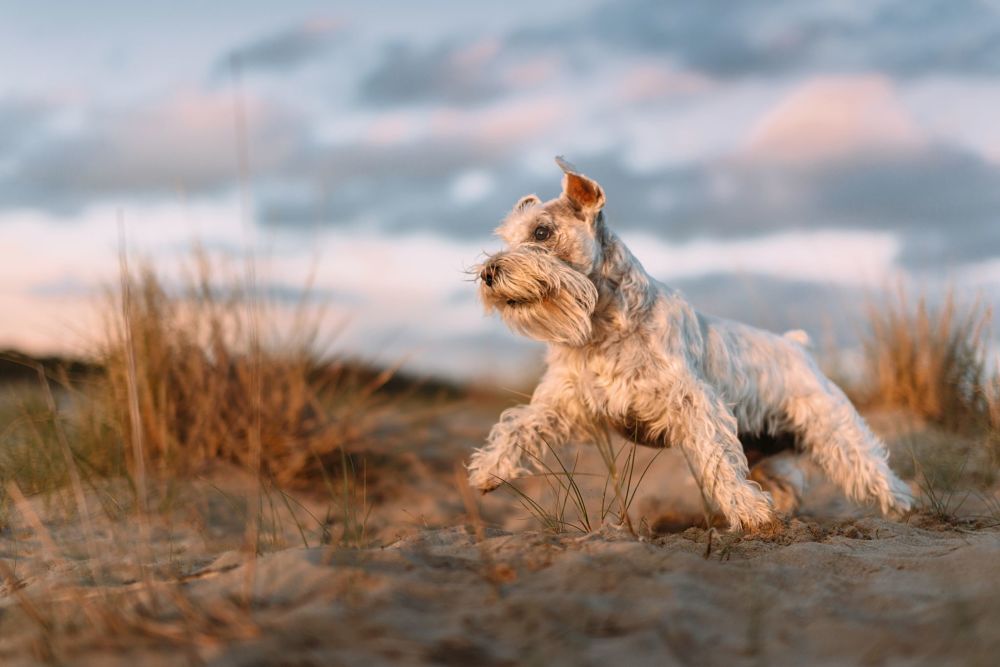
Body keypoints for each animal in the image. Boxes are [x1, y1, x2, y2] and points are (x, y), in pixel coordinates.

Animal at [468, 158, 916, 532]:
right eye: (508, 236)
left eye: (542, 231)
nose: (488, 272)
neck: (603, 328)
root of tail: (798, 347)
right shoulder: (567, 404)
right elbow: (519, 426)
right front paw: (489, 469)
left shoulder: (695, 404)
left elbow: (719, 462)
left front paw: (748, 514)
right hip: (766, 453)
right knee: (790, 484)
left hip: (833, 429)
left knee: (874, 472)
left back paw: (904, 512)